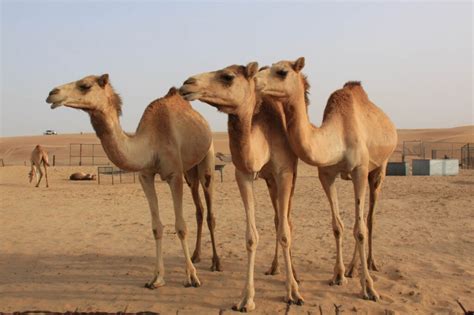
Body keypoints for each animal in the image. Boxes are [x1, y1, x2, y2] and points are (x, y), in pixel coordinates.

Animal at [45, 74, 221, 292]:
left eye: (84, 85)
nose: (52, 93)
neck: (150, 144)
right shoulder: (145, 176)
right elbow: (156, 227)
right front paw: (156, 279)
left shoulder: (174, 175)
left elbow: (180, 226)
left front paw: (192, 277)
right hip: (190, 171)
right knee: (199, 209)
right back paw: (196, 256)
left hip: (207, 158)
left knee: (210, 209)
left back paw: (215, 263)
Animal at [180, 62, 302, 314]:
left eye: (227, 76)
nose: (187, 83)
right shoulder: (243, 174)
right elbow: (251, 237)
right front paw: (246, 299)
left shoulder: (284, 173)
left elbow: (286, 232)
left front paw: (293, 293)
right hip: (269, 181)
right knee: (277, 218)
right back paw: (274, 268)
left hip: (289, 175)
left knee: (286, 221)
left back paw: (293, 275)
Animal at [256, 58, 396, 302]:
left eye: (282, 72)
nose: (254, 79)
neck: (337, 137)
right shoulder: (326, 175)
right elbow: (337, 226)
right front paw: (338, 275)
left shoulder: (360, 171)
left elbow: (359, 229)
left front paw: (369, 288)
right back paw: (351, 269)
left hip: (379, 169)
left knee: (368, 218)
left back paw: (370, 264)